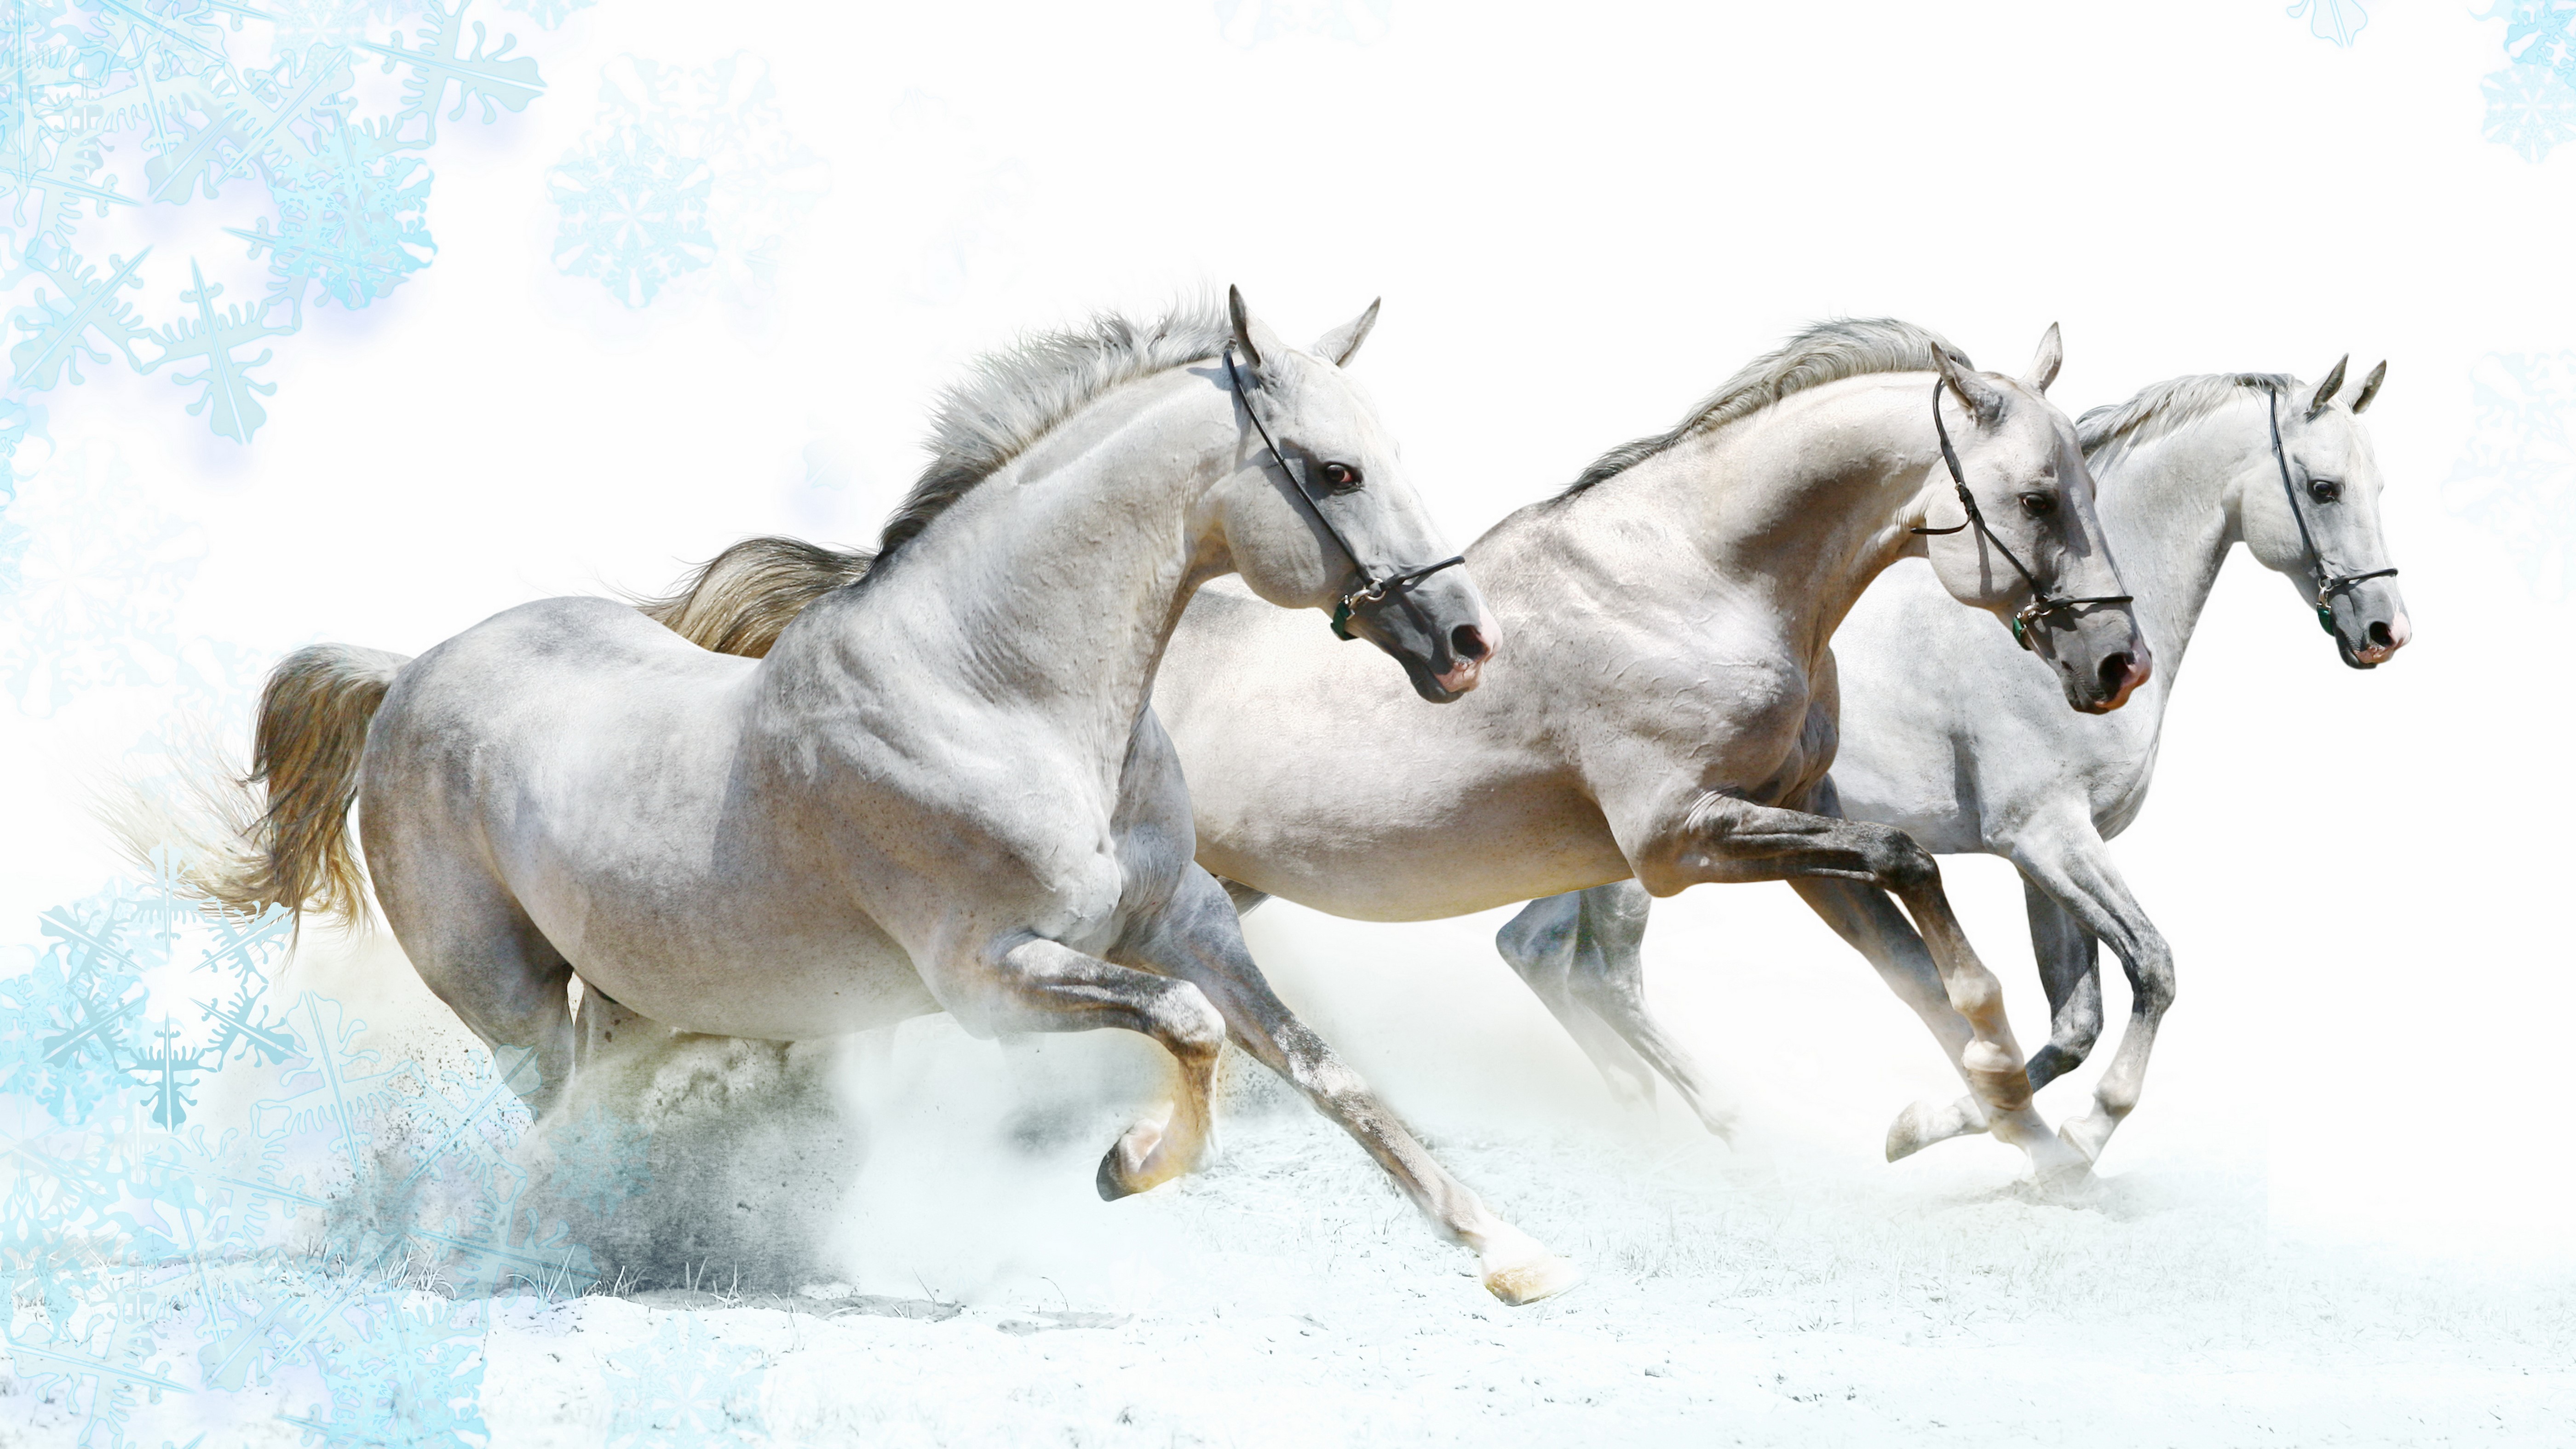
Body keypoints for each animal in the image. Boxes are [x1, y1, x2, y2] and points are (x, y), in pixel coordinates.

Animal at [175, 291, 1585, 1305]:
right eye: (1336, 472)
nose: (1466, 641)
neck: (999, 688)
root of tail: (409, 670)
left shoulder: (1186, 921)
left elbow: (1329, 1073)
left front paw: (1515, 1256)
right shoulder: (993, 978)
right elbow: (1189, 1031)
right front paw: (1128, 1168)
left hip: (634, 993)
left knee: (599, 1113)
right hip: (510, 998)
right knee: (558, 1113)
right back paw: (551, 1250)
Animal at [1499, 358, 2411, 1167]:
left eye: (2378, 489)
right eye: (2325, 488)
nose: (2385, 632)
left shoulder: (2049, 856)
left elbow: (2074, 1023)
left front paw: (1947, 1125)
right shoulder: (2046, 838)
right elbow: (2152, 968)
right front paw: (2075, 1135)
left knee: (1534, 949)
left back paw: (1641, 1115)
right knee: (1604, 975)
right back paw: (1722, 1126)